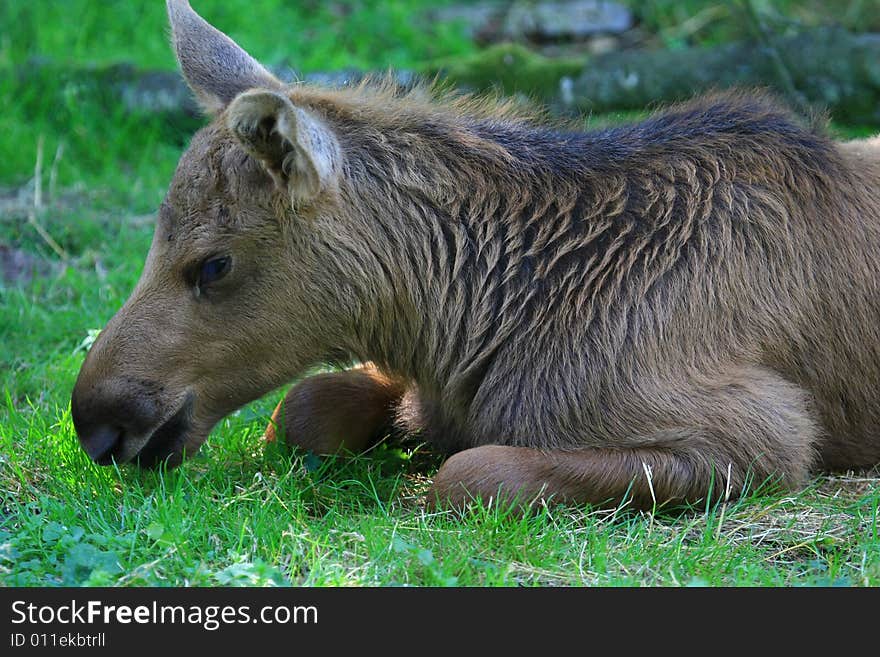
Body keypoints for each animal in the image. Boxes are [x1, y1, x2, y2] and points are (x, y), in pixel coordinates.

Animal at [72, 0, 880, 510]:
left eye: (213, 264)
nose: (95, 422)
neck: (464, 321)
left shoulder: (765, 435)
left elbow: (471, 472)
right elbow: (302, 406)